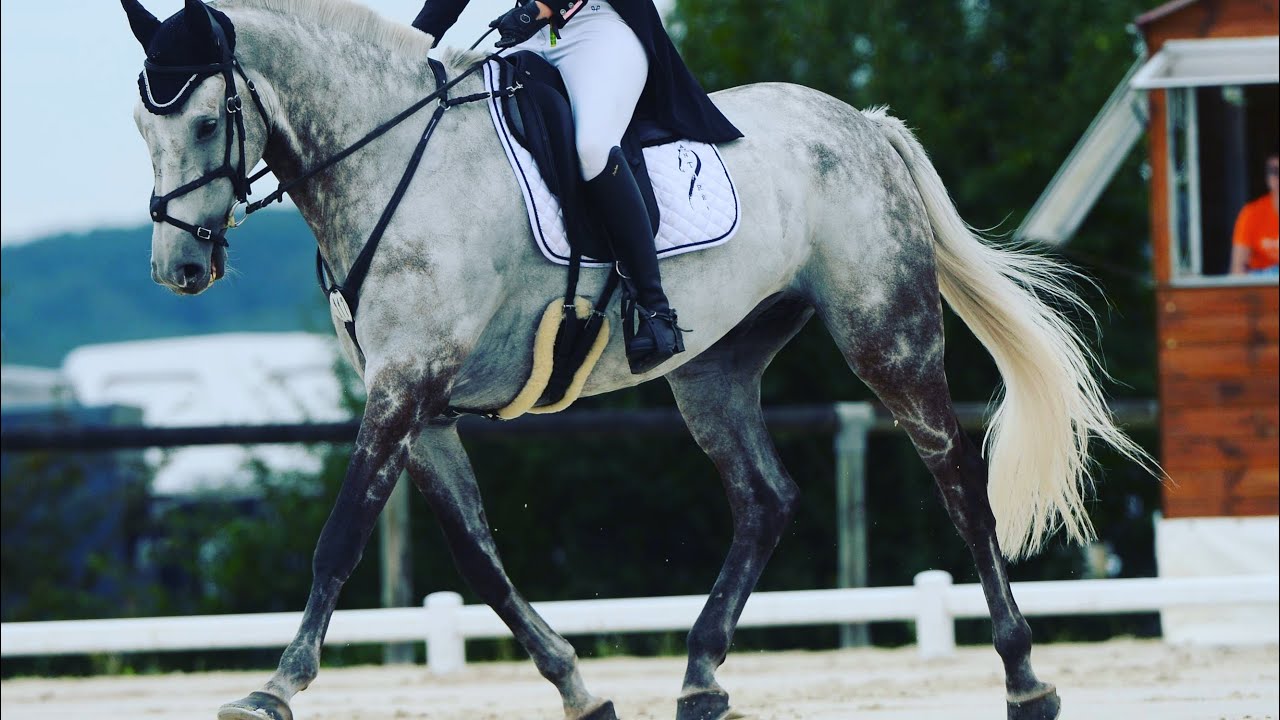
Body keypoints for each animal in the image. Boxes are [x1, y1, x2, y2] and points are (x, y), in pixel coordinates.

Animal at [120, 1, 1152, 718]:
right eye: (142, 129)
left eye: (207, 122)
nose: (178, 270)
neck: (392, 161)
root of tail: (861, 122)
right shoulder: (425, 405)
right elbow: (479, 560)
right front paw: (580, 687)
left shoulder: (406, 386)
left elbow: (338, 540)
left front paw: (275, 688)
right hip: (714, 366)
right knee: (765, 498)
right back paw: (698, 677)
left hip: (884, 331)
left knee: (957, 481)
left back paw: (1025, 679)